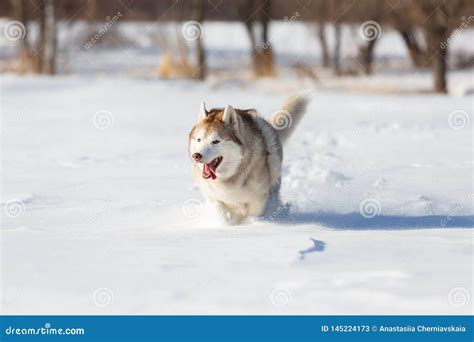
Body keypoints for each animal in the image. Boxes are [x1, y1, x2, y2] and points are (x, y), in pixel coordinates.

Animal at [189, 95, 312, 224]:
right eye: (199, 139)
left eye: (216, 141)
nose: (196, 156)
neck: (228, 177)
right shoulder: (212, 197)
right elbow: (220, 209)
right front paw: (228, 220)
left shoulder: (259, 199)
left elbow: (253, 213)